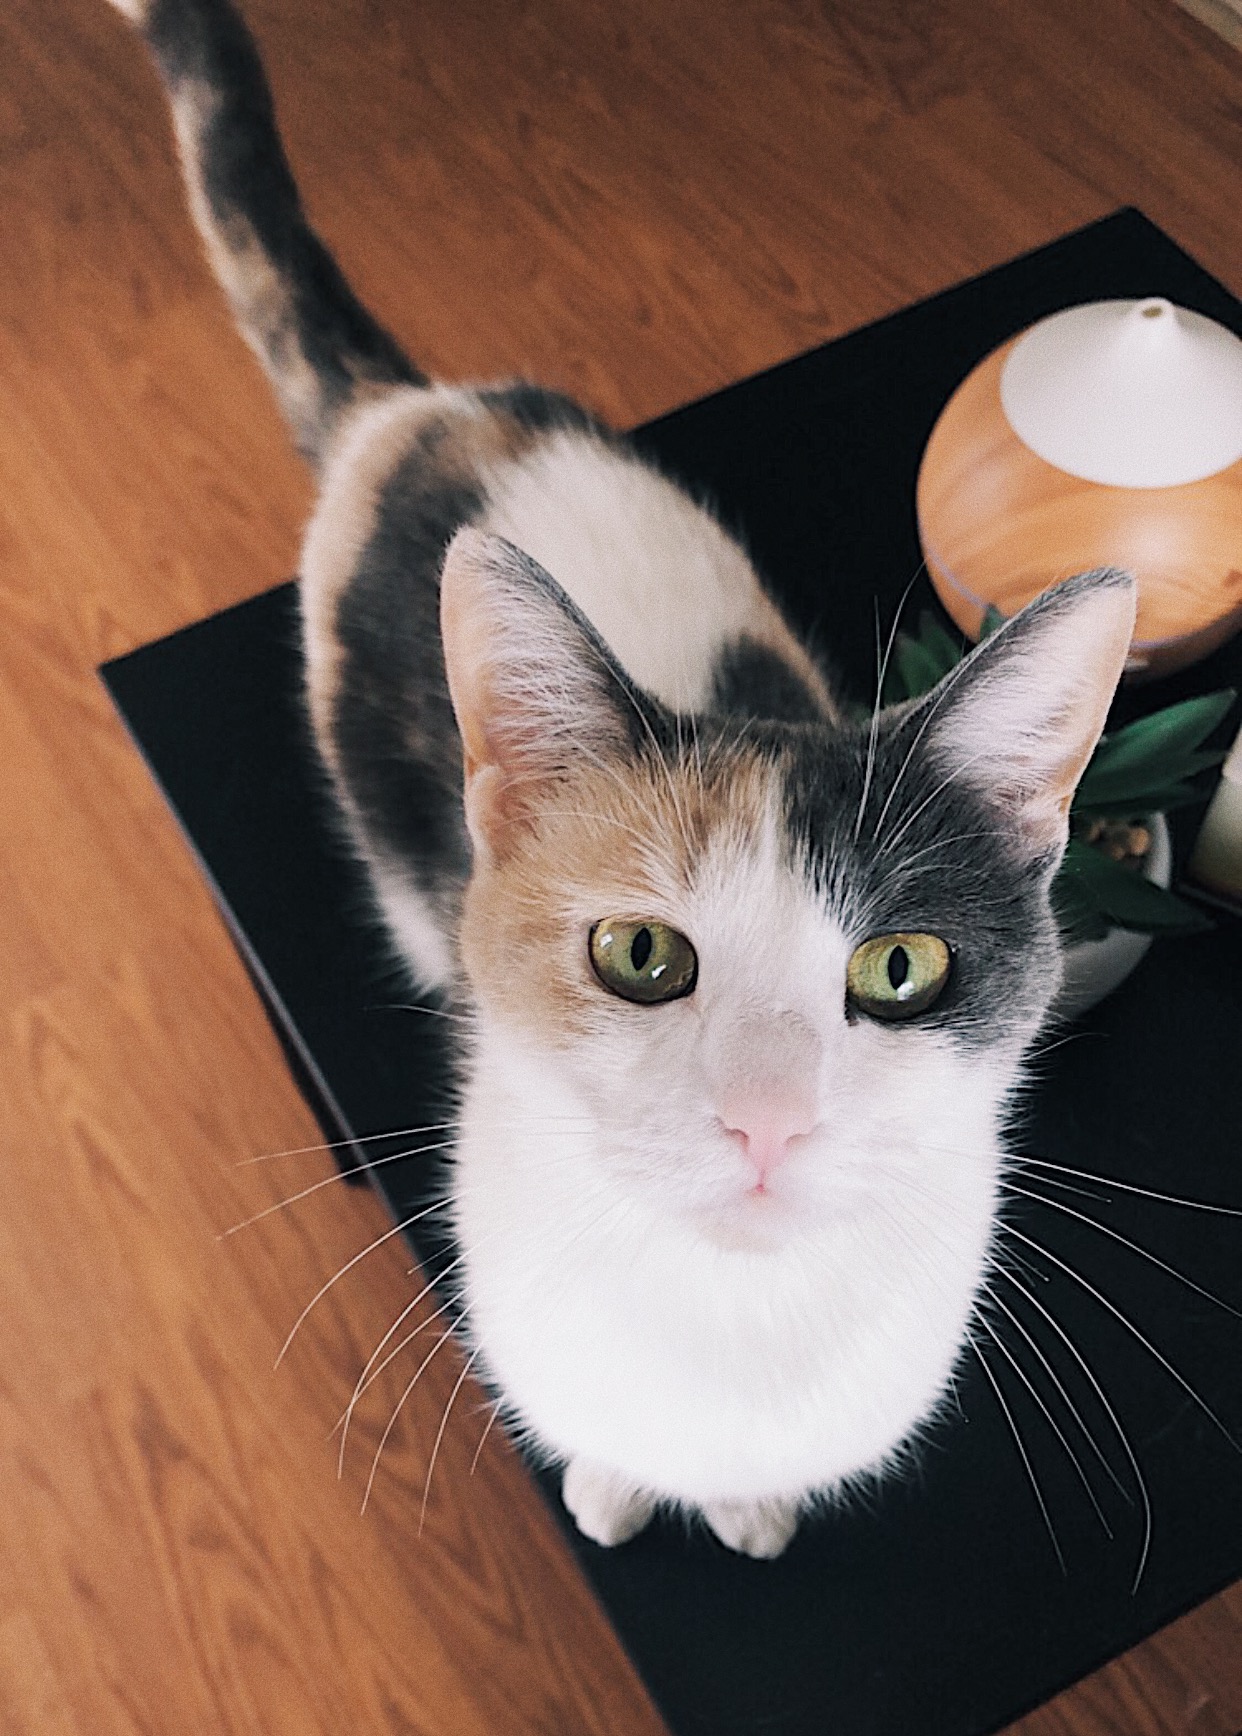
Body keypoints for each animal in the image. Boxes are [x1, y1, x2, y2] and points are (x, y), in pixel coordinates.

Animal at [105, 0, 1135, 1557]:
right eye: (641, 953)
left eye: (900, 967)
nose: (766, 1121)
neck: (728, 1324)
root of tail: (418, 411)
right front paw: (610, 1484)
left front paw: (752, 1502)